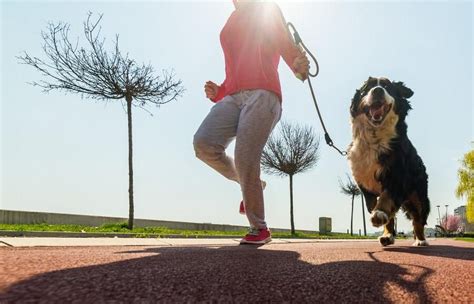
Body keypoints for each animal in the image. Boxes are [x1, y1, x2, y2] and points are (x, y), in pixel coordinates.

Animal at [348, 76, 430, 247]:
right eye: (367, 88)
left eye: (387, 87)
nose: (378, 90)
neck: (375, 138)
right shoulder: (364, 183)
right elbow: (377, 206)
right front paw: (380, 219)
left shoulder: (397, 176)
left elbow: (386, 198)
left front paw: (379, 213)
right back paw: (387, 236)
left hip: (419, 195)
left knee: (418, 219)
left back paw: (420, 240)